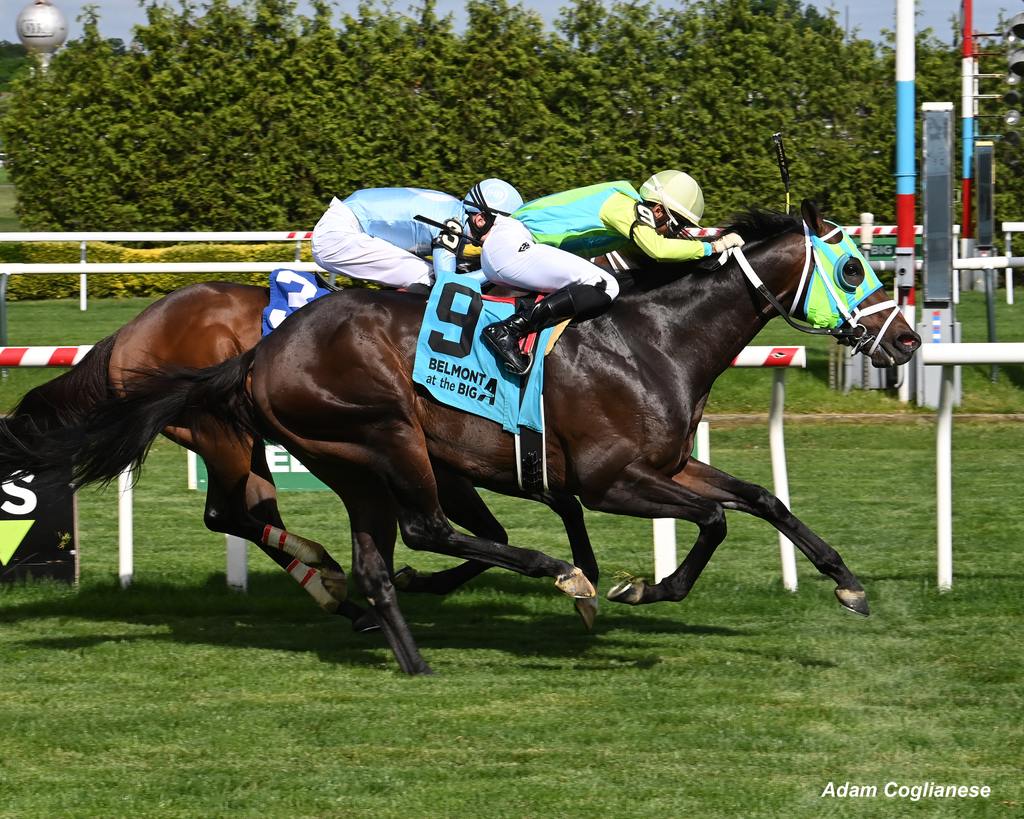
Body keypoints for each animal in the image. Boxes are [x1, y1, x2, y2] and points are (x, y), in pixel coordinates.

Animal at [0, 199, 925, 671]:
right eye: (854, 269)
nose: (908, 340)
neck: (649, 336)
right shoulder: (607, 477)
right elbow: (710, 520)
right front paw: (633, 587)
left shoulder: (662, 463)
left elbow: (760, 498)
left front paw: (847, 582)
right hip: (373, 434)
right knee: (401, 527)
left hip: (342, 457)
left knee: (359, 544)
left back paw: (382, 622)